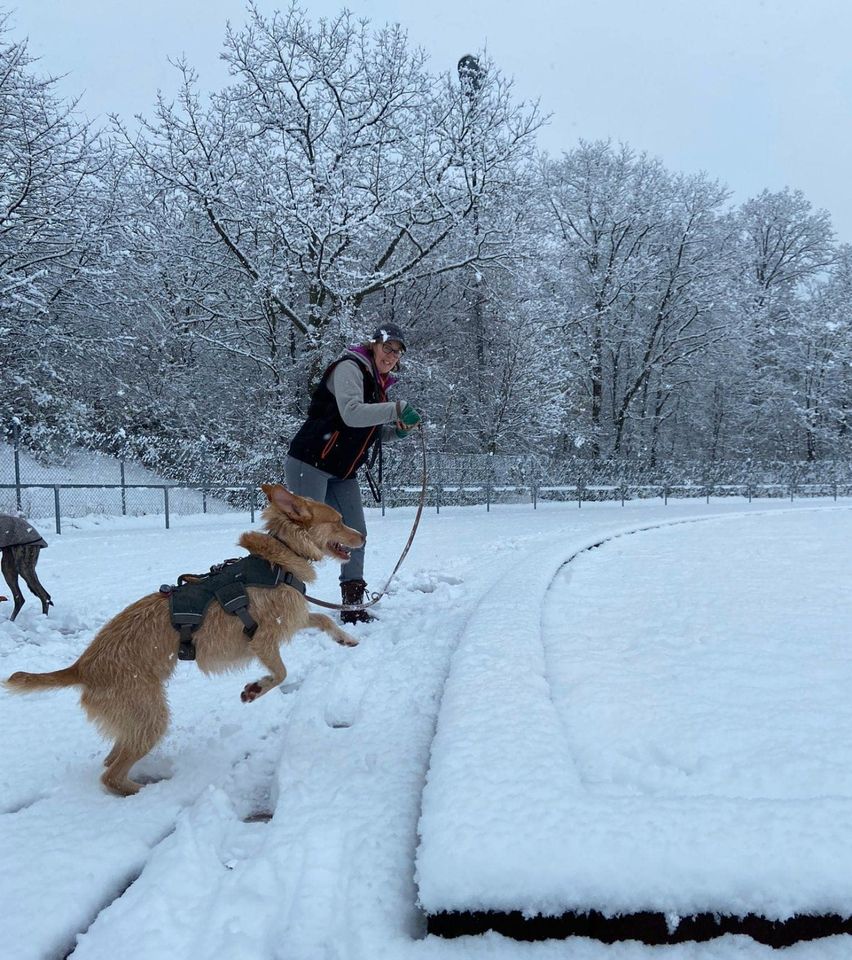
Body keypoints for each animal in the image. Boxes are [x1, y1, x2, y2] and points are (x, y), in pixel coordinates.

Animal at [3, 484, 362, 800]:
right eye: (339, 520)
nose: (363, 535)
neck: (281, 557)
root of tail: (81, 668)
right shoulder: (263, 639)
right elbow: (281, 673)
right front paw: (254, 689)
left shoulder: (294, 620)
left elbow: (324, 619)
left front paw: (346, 638)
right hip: (151, 716)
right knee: (111, 776)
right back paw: (147, 791)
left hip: (136, 722)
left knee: (110, 761)